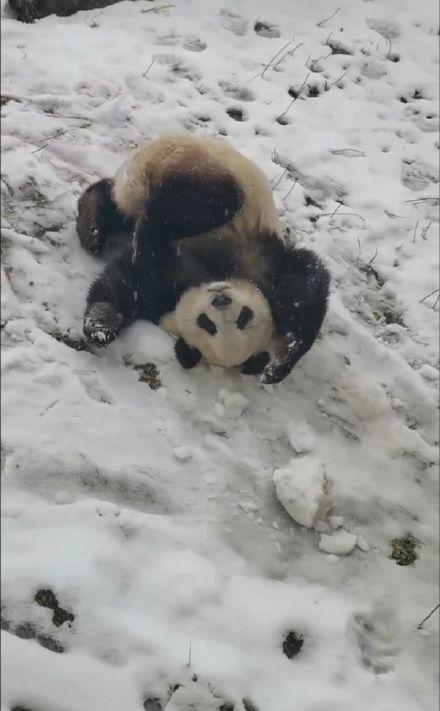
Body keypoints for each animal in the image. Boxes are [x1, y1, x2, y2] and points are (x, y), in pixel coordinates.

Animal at [76, 133, 330, 384]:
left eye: (239, 319)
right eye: (208, 323)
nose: (221, 299)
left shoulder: (159, 295)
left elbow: (125, 284)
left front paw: (102, 324)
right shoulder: (258, 261)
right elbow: (306, 281)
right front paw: (278, 365)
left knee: (123, 208)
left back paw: (93, 223)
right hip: (203, 167)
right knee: (206, 203)